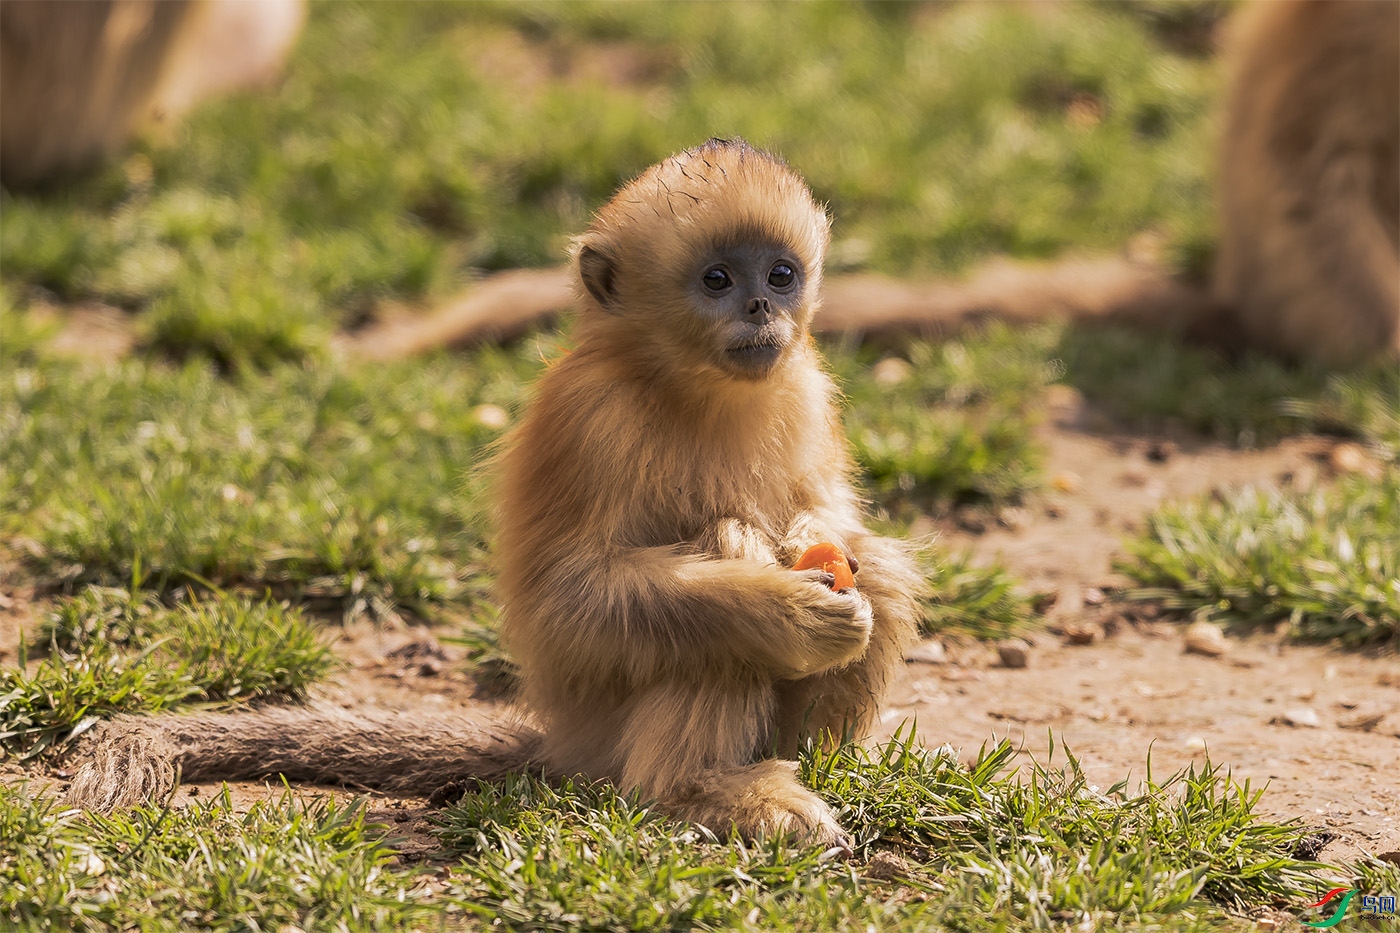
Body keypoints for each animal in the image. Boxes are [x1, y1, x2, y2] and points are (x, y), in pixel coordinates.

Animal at [65, 140, 924, 851]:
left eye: (780, 273)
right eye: (717, 279)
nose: (759, 307)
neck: (694, 386)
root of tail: (569, 745)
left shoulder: (804, 381)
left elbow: (838, 525)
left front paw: (813, 542)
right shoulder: (592, 416)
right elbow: (570, 599)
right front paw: (790, 609)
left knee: (877, 569)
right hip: (606, 726)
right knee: (720, 577)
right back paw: (705, 790)